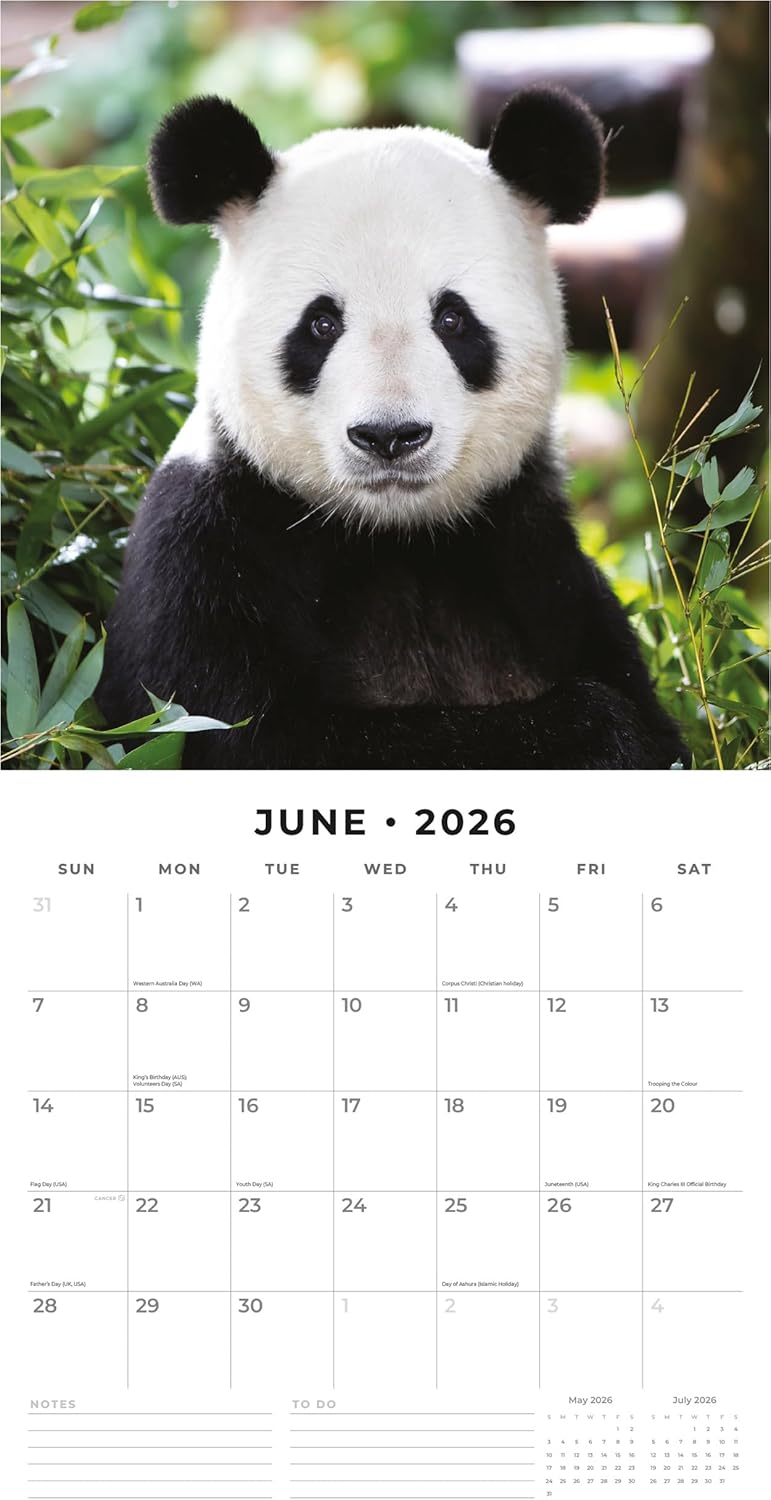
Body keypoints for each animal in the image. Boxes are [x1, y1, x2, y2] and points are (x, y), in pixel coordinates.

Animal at [98, 90, 687, 770]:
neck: (393, 537)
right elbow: (255, 736)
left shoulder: (535, 560)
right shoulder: (205, 553)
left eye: (453, 319)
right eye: (322, 324)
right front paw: (590, 726)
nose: (390, 437)